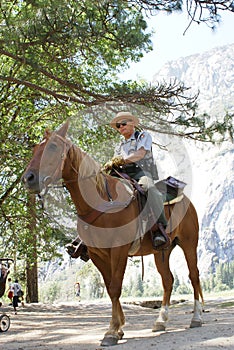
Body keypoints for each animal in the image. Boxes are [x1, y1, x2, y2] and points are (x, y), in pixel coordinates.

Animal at [22, 121, 205, 346]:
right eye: (34, 149)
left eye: (53, 147)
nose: (28, 178)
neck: (101, 202)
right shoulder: (97, 254)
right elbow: (110, 289)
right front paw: (118, 329)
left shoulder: (118, 250)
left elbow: (116, 287)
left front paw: (111, 332)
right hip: (161, 251)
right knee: (168, 281)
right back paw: (160, 321)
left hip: (189, 243)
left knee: (194, 275)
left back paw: (196, 318)